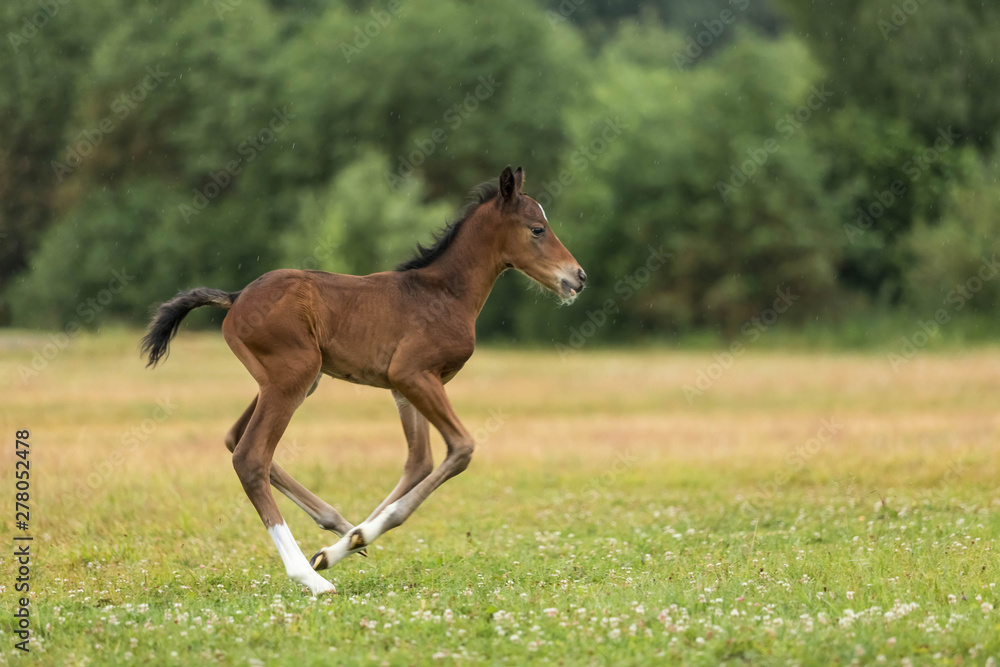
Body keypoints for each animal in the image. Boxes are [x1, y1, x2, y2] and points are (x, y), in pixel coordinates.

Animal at [141, 166, 586, 595]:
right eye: (537, 229)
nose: (578, 277)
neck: (446, 292)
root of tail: (235, 298)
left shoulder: (406, 387)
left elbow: (419, 462)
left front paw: (345, 543)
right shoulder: (413, 374)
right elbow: (460, 449)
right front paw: (350, 543)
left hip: (291, 380)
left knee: (235, 439)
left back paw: (334, 526)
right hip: (294, 376)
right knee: (250, 457)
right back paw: (311, 579)